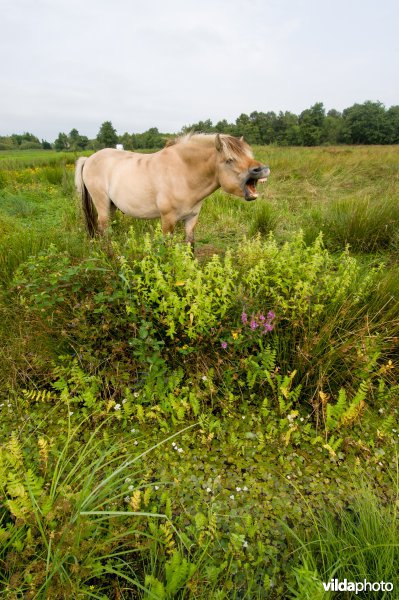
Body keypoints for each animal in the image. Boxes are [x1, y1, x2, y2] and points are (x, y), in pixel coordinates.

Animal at [76, 133, 268, 244]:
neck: (183, 173)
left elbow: (190, 247)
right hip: (102, 205)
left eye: (249, 155)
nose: (262, 169)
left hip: (111, 206)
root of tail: (89, 158)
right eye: (229, 160)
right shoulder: (167, 220)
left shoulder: (191, 219)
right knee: (103, 230)